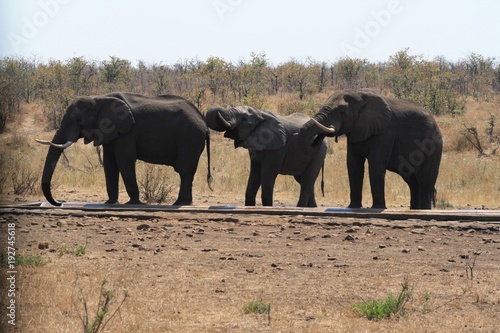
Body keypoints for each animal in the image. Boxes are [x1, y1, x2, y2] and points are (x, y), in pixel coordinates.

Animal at [36, 91, 213, 205]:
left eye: (79, 120)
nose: (60, 202)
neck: (98, 98)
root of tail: (204, 123)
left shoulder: (127, 132)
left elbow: (124, 161)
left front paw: (133, 203)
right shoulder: (111, 132)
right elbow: (109, 163)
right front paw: (109, 203)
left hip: (189, 137)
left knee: (185, 170)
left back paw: (179, 203)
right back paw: (184, 202)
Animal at [296, 87, 442, 208]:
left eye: (342, 112)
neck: (359, 95)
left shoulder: (385, 133)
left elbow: (375, 165)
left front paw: (377, 208)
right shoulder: (356, 131)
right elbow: (353, 165)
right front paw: (353, 207)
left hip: (432, 147)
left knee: (425, 182)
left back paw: (424, 210)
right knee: (413, 183)